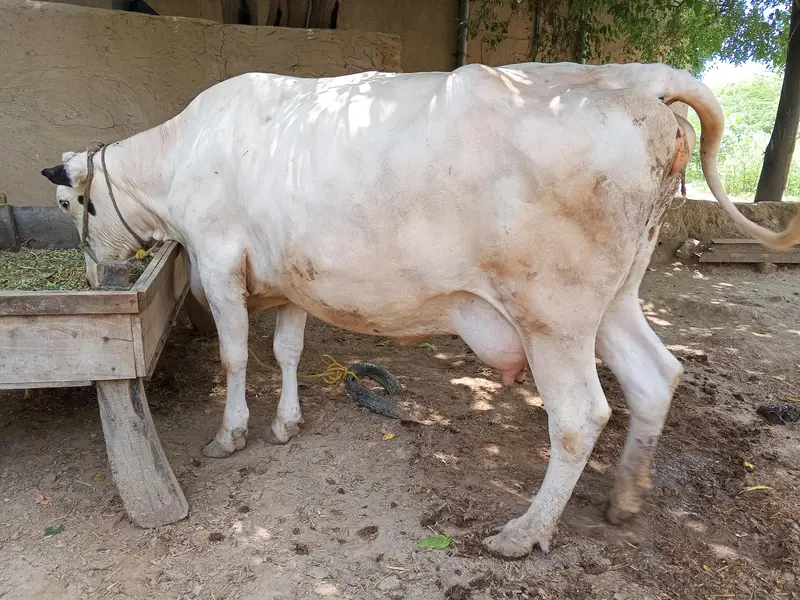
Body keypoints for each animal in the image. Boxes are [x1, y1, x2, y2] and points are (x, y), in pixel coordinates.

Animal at [41, 62, 800, 559]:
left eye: (68, 203)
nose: (94, 274)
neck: (184, 155)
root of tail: (637, 79)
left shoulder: (220, 265)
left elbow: (234, 357)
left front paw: (232, 434)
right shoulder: (291, 279)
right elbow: (286, 351)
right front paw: (286, 422)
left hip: (553, 313)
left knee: (581, 416)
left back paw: (526, 532)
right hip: (613, 299)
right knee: (655, 377)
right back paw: (626, 496)